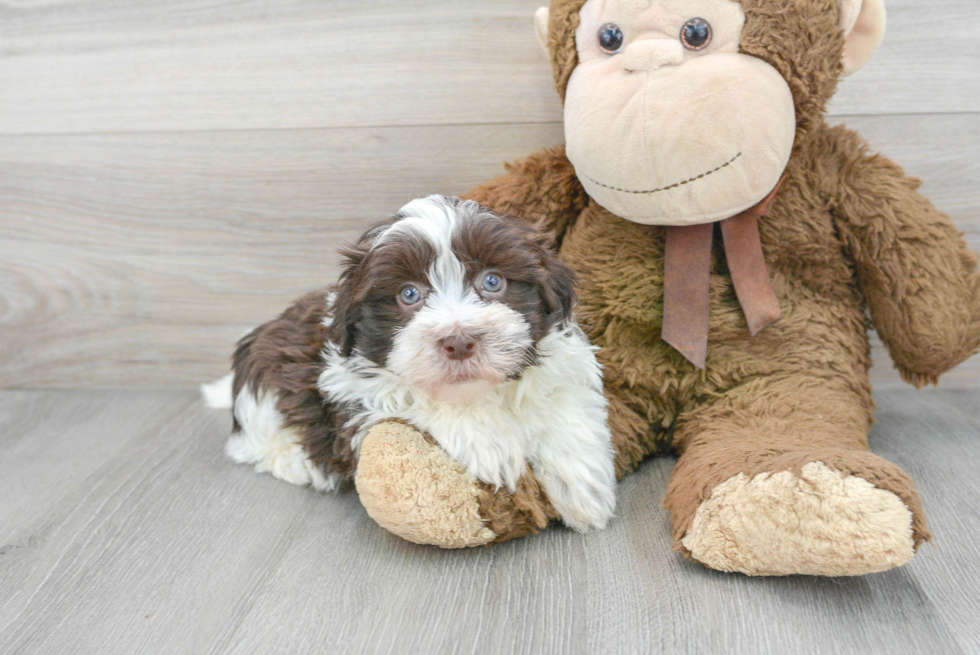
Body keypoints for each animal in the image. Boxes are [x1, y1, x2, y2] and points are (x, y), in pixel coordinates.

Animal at [211, 195, 616, 532]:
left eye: (493, 281)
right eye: (409, 294)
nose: (459, 342)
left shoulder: (562, 362)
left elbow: (563, 402)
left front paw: (584, 485)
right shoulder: (353, 384)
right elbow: (417, 395)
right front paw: (491, 441)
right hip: (264, 391)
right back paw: (299, 463)